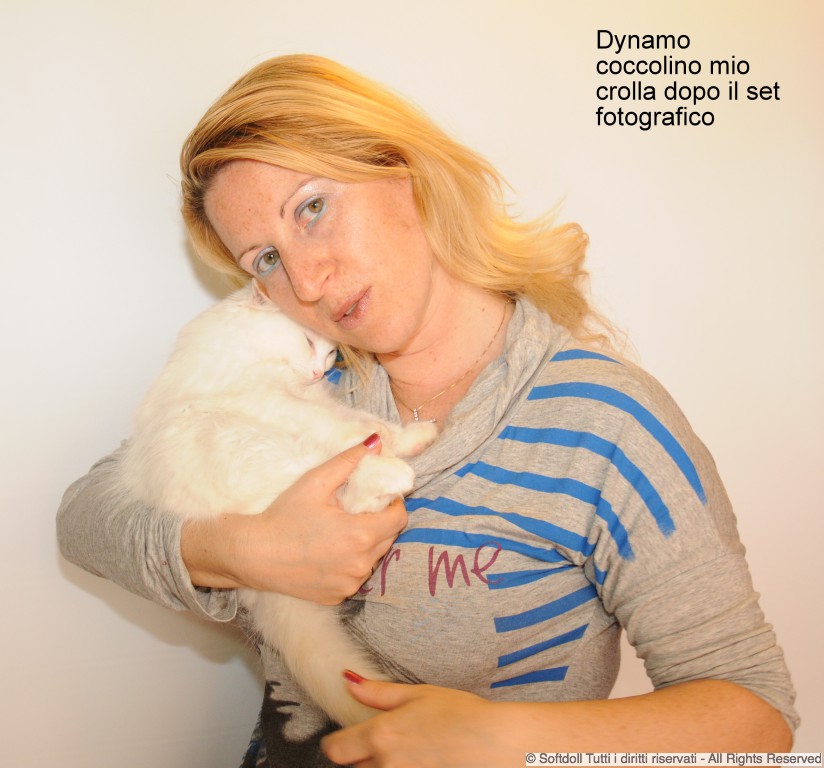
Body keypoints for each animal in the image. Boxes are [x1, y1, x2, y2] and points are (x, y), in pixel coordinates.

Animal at [116, 281, 437, 726]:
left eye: (331, 354)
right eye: (308, 342)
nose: (319, 371)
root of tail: (259, 589)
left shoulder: (311, 401)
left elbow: (361, 423)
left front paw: (409, 436)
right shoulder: (279, 401)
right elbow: (362, 428)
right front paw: (399, 440)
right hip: (256, 452)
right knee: (350, 494)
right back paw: (394, 475)